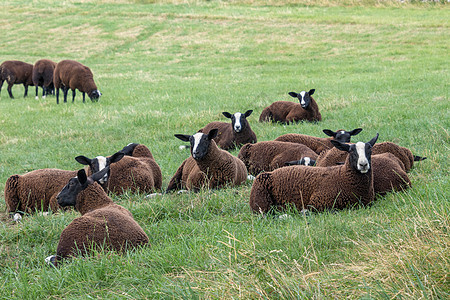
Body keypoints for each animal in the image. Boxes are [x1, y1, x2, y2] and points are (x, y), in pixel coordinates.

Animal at [250, 134, 380, 213]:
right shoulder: (317, 202)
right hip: (260, 201)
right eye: (351, 151)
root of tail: (272, 172)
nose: (363, 165)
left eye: (370, 151)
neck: (342, 177)